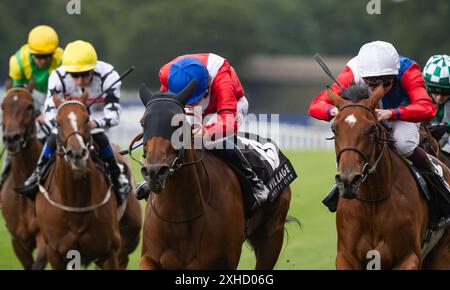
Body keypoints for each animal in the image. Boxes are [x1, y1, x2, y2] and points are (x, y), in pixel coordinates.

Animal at [35, 94, 141, 270]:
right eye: (58, 122)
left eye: (86, 119)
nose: (77, 153)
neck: (76, 203)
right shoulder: (55, 253)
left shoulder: (109, 252)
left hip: (129, 235)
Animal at [137, 80, 292, 270]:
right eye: (143, 123)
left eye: (179, 123)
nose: (154, 171)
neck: (180, 219)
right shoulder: (149, 258)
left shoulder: (225, 262)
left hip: (272, 236)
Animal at [326, 84, 450, 270]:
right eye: (334, 129)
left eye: (371, 129)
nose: (348, 181)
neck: (372, 202)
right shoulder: (345, 257)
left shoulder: (410, 257)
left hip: (441, 256)